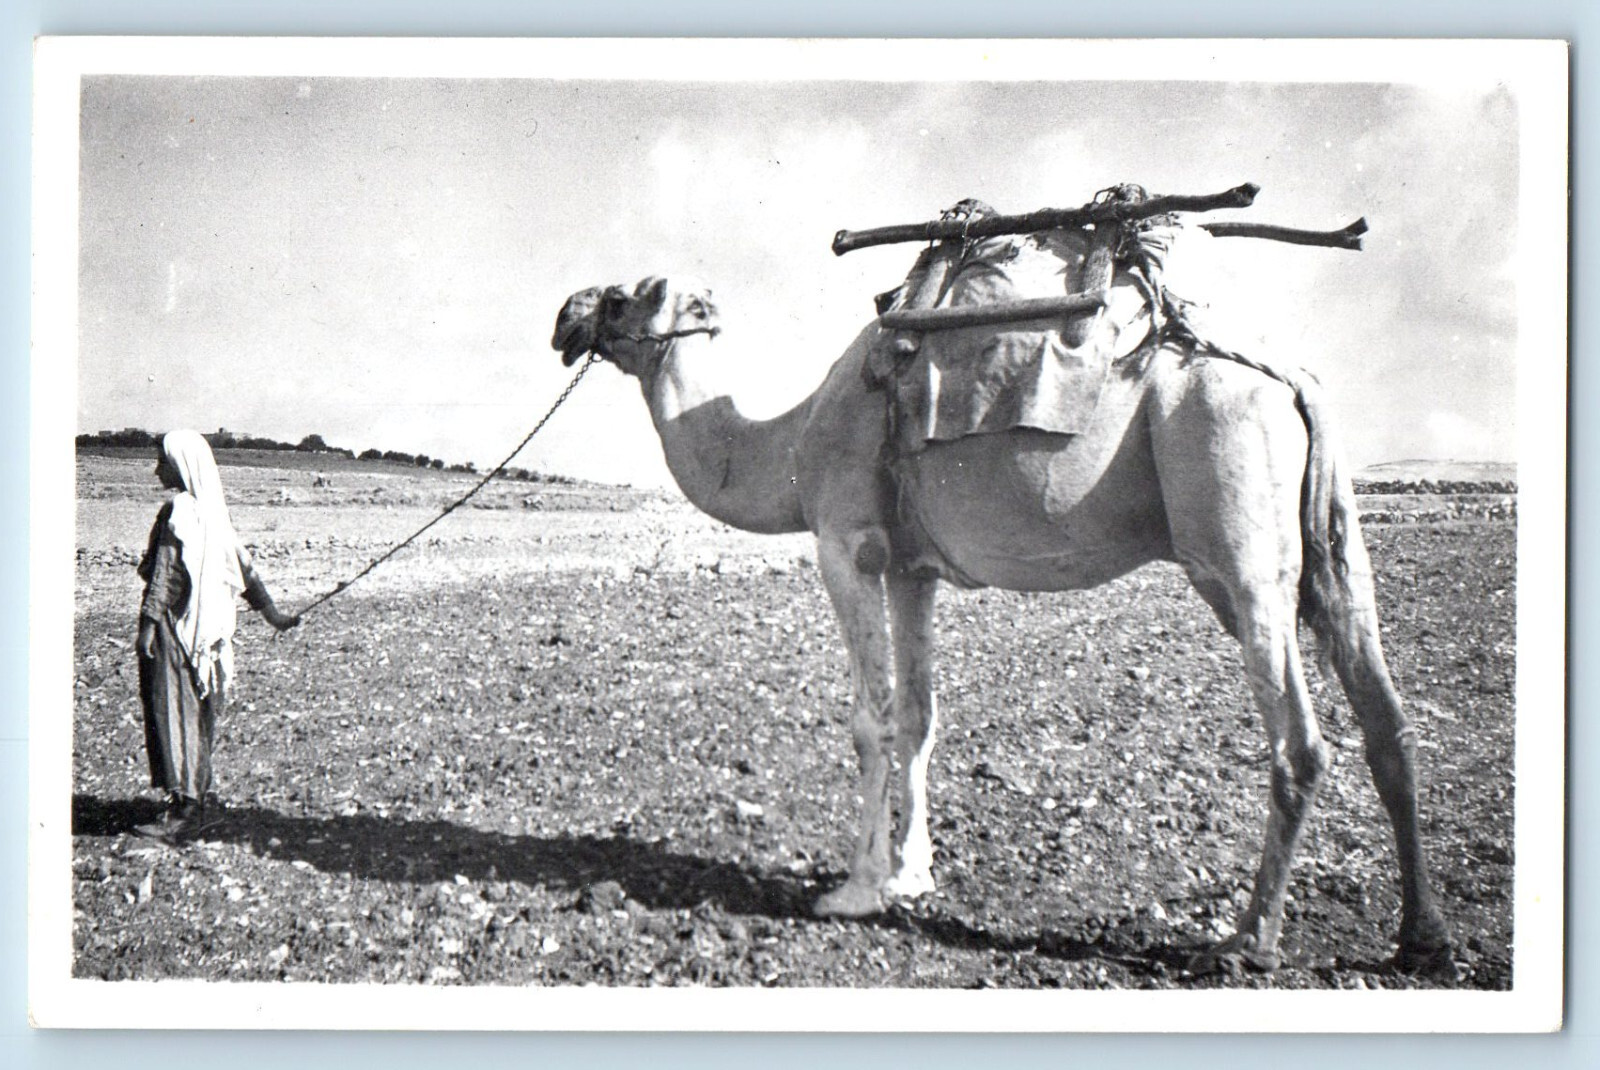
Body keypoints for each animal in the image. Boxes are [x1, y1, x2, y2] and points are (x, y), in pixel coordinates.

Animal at [548, 243, 1454, 975]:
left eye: (624, 295)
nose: (564, 315)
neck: (790, 441)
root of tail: (1290, 380)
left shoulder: (847, 544)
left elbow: (872, 719)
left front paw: (855, 889)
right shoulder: (913, 569)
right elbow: (919, 716)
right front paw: (912, 873)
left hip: (1237, 543)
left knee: (1300, 740)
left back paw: (1247, 942)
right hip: (1327, 548)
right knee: (1388, 720)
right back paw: (1423, 940)